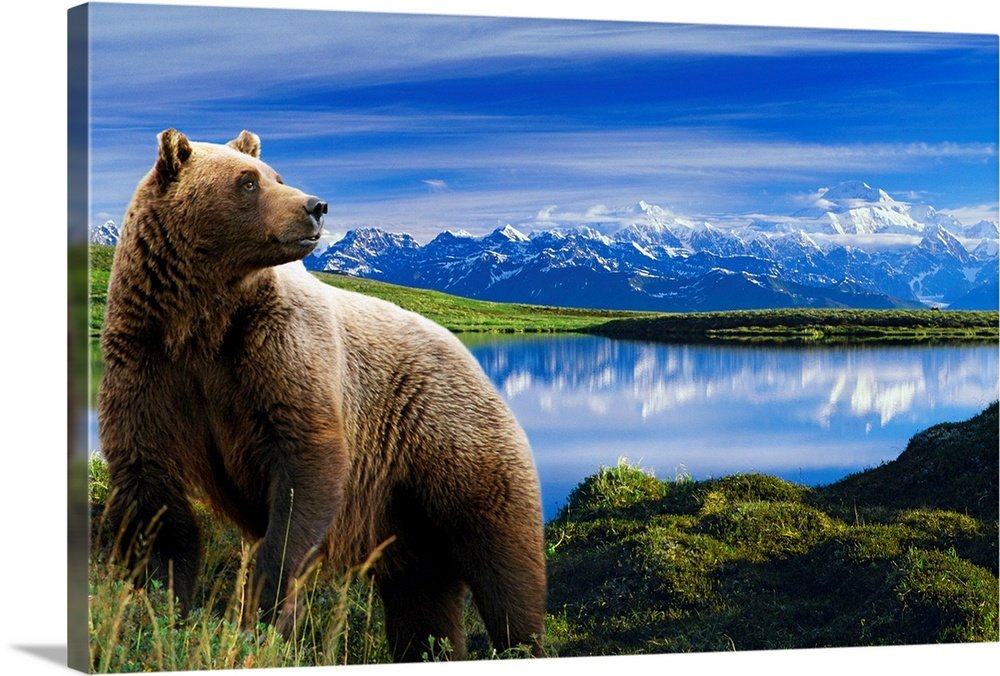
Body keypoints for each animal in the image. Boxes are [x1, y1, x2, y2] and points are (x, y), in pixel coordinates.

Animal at [97, 129, 546, 662]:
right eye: (247, 182)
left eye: (276, 175)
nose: (316, 206)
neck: (203, 318)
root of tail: (475, 361)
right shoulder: (149, 364)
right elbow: (154, 496)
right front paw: (161, 609)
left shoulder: (277, 355)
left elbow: (305, 470)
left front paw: (264, 613)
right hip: (404, 514)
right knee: (422, 598)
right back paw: (432, 648)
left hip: (455, 446)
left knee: (504, 566)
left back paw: (520, 642)